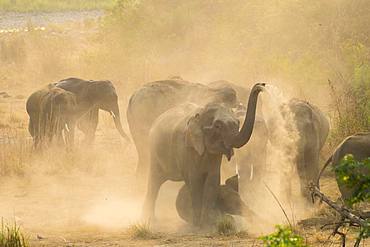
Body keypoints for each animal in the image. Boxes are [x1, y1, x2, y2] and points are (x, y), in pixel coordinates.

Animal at [142, 82, 266, 226]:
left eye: (237, 123)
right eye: (218, 126)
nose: (261, 84)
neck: (199, 115)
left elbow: (212, 180)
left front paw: (208, 221)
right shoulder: (186, 149)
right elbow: (195, 181)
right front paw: (198, 224)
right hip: (154, 151)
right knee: (154, 182)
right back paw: (149, 220)